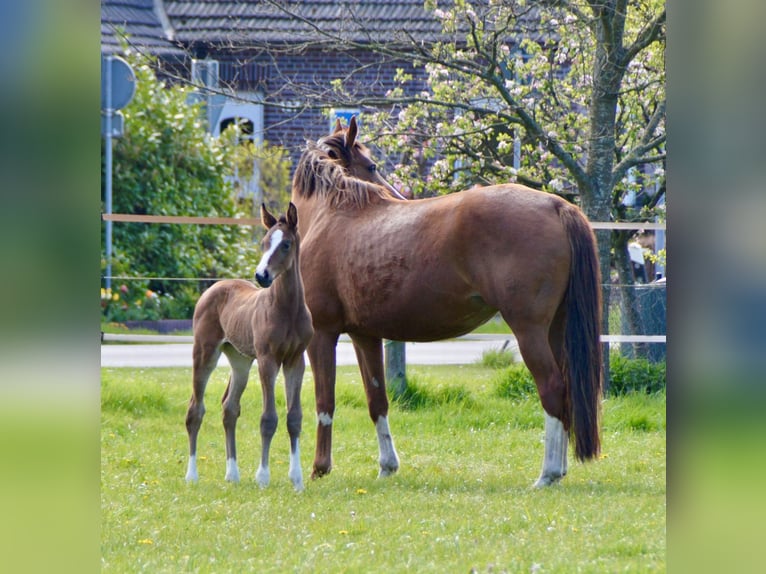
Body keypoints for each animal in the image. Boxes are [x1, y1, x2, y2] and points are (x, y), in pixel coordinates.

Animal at [184, 202, 314, 490]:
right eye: (264, 243)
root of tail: (216, 286)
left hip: (240, 361)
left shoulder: (295, 360)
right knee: (195, 410)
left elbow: (294, 418)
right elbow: (268, 419)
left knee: (229, 408)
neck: (287, 310)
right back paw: (191, 475)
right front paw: (263, 476)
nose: (261, 275)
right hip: (205, 353)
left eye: (286, 244)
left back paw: (232, 473)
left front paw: (297, 479)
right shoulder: (267, 359)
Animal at [294, 118, 608, 490]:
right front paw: (387, 466)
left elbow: (324, 402)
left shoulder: (323, 334)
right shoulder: (364, 336)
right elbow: (377, 401)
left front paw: (320, 468)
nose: (397, 196)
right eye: (371, 166)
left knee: (552, 387)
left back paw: (547, 474)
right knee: (567, 388)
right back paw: (558, 472)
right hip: (556, 330)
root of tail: (557, 206)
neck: (334, 214)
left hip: (529, 330)